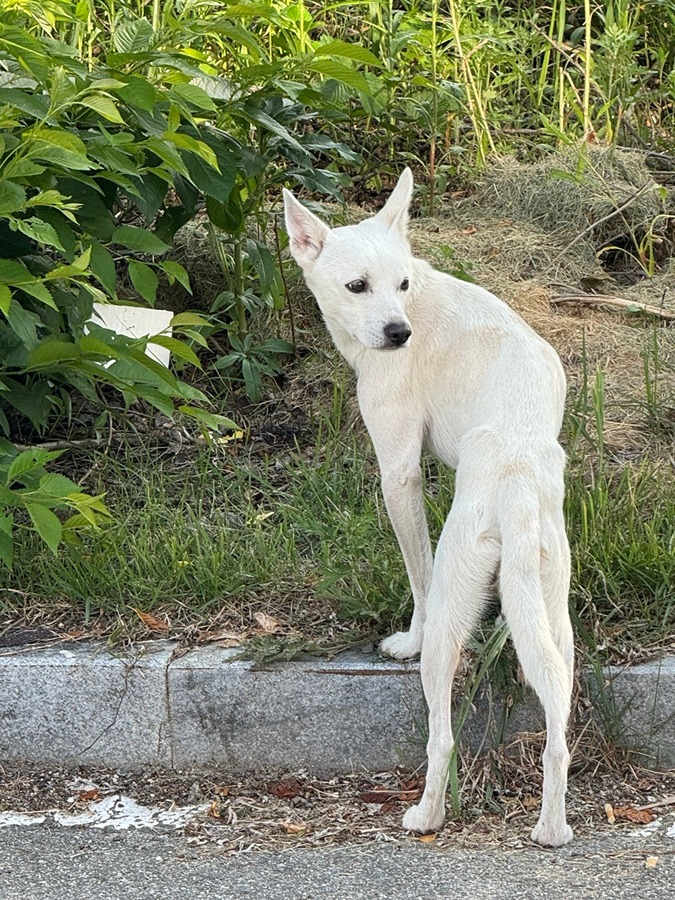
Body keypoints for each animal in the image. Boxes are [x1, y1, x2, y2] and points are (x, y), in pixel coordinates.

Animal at [286, 167, 576, 844]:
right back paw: (552, 827)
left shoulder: (399, 474)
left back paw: (427, 814)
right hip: (555, 617)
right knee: (557, 733)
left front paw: (404, 642)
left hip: (453, 616)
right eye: (358, 285)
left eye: (401, 285)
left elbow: (413, 574)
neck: (418, 299)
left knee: (442, 737)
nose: (399, 334)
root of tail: (515, 473)